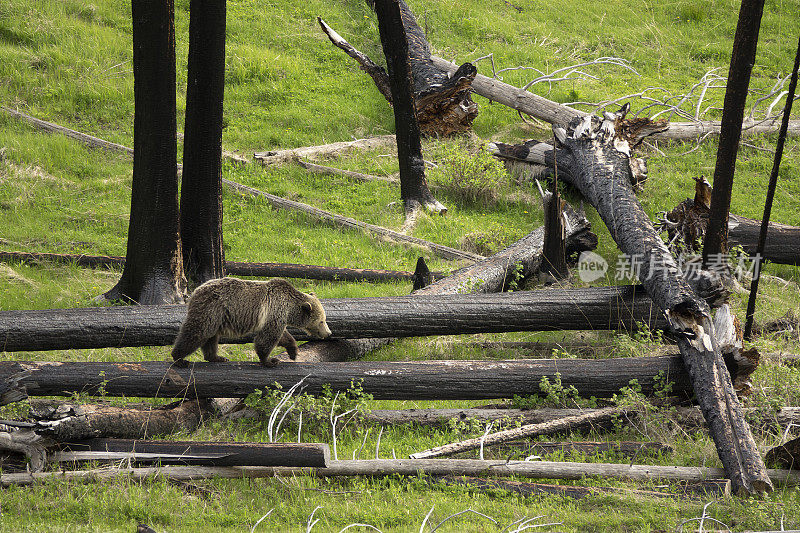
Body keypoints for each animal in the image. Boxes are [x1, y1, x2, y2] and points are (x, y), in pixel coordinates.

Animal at [170, 274, 330, 366]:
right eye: (322, 321)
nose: (328, 333)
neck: (290, 309)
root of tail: (195, 292)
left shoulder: (276, 317)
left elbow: (283, 336)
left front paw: (293, 352)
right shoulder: (274, 311)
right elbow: (267, 338)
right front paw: (270, 360)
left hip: (215, 317)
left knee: (211, 337)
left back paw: (216, 357)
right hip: (211, 309)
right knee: (197, 332)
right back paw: (179, 358)